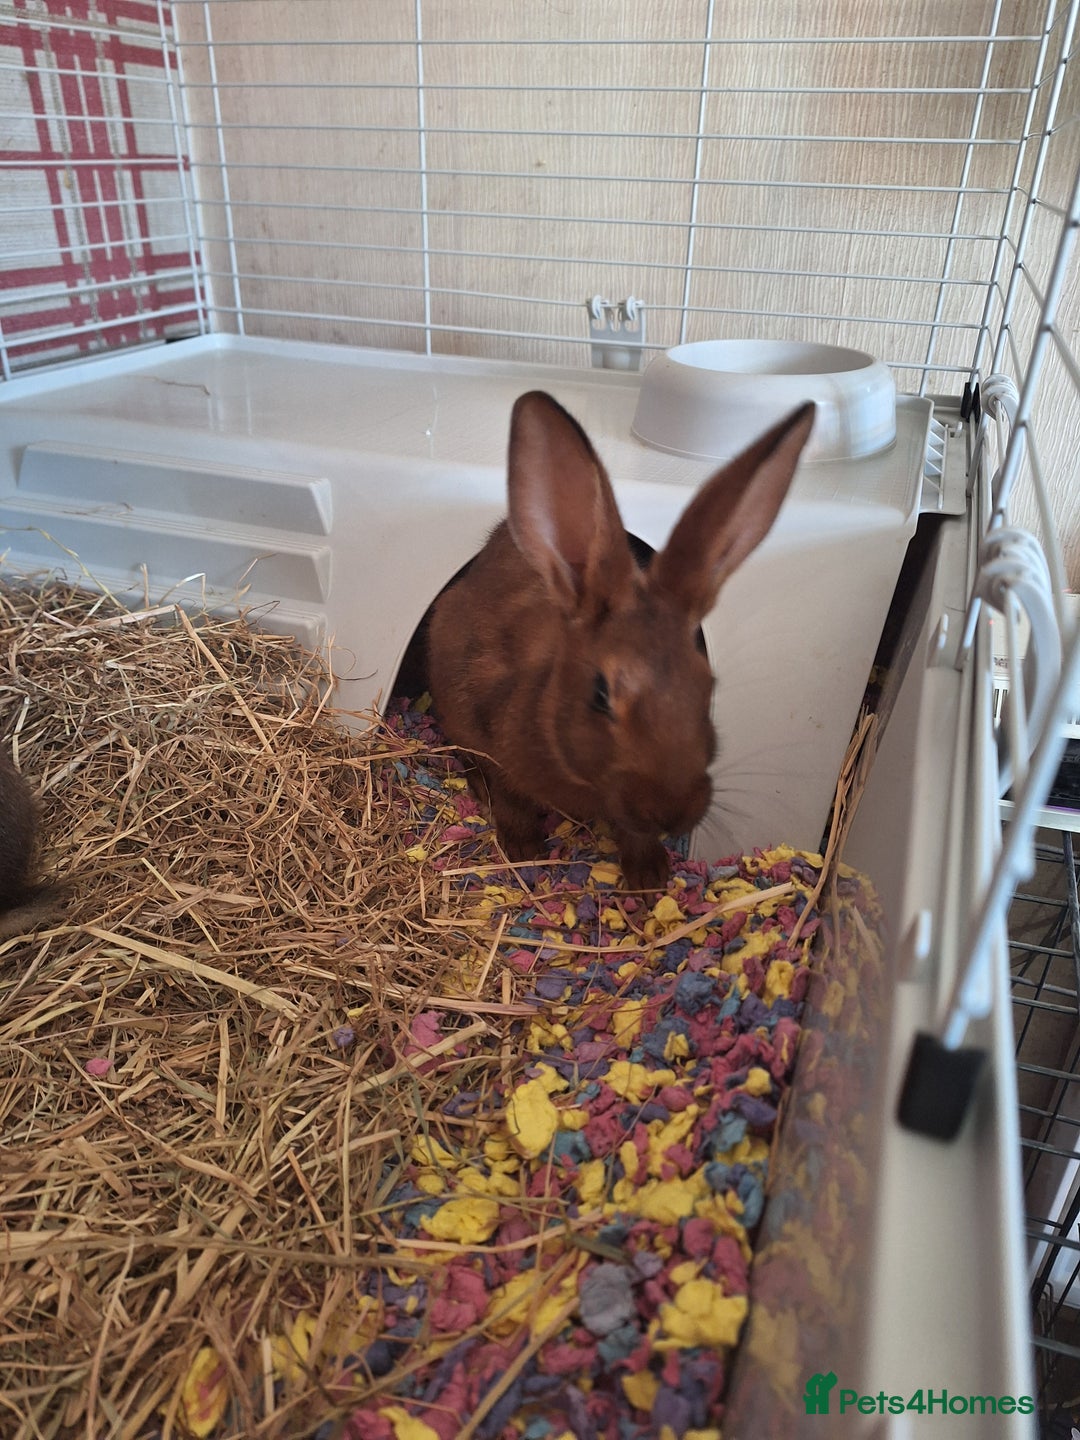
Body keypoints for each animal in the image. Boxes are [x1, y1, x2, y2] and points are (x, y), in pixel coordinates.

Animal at [427, 390, 816, 891]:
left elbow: (634, 833)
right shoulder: (487, 730)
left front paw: (650, 879)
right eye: (600, 695)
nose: (671, 812)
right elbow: (509, 795)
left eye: (707, 687)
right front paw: (524, 849)